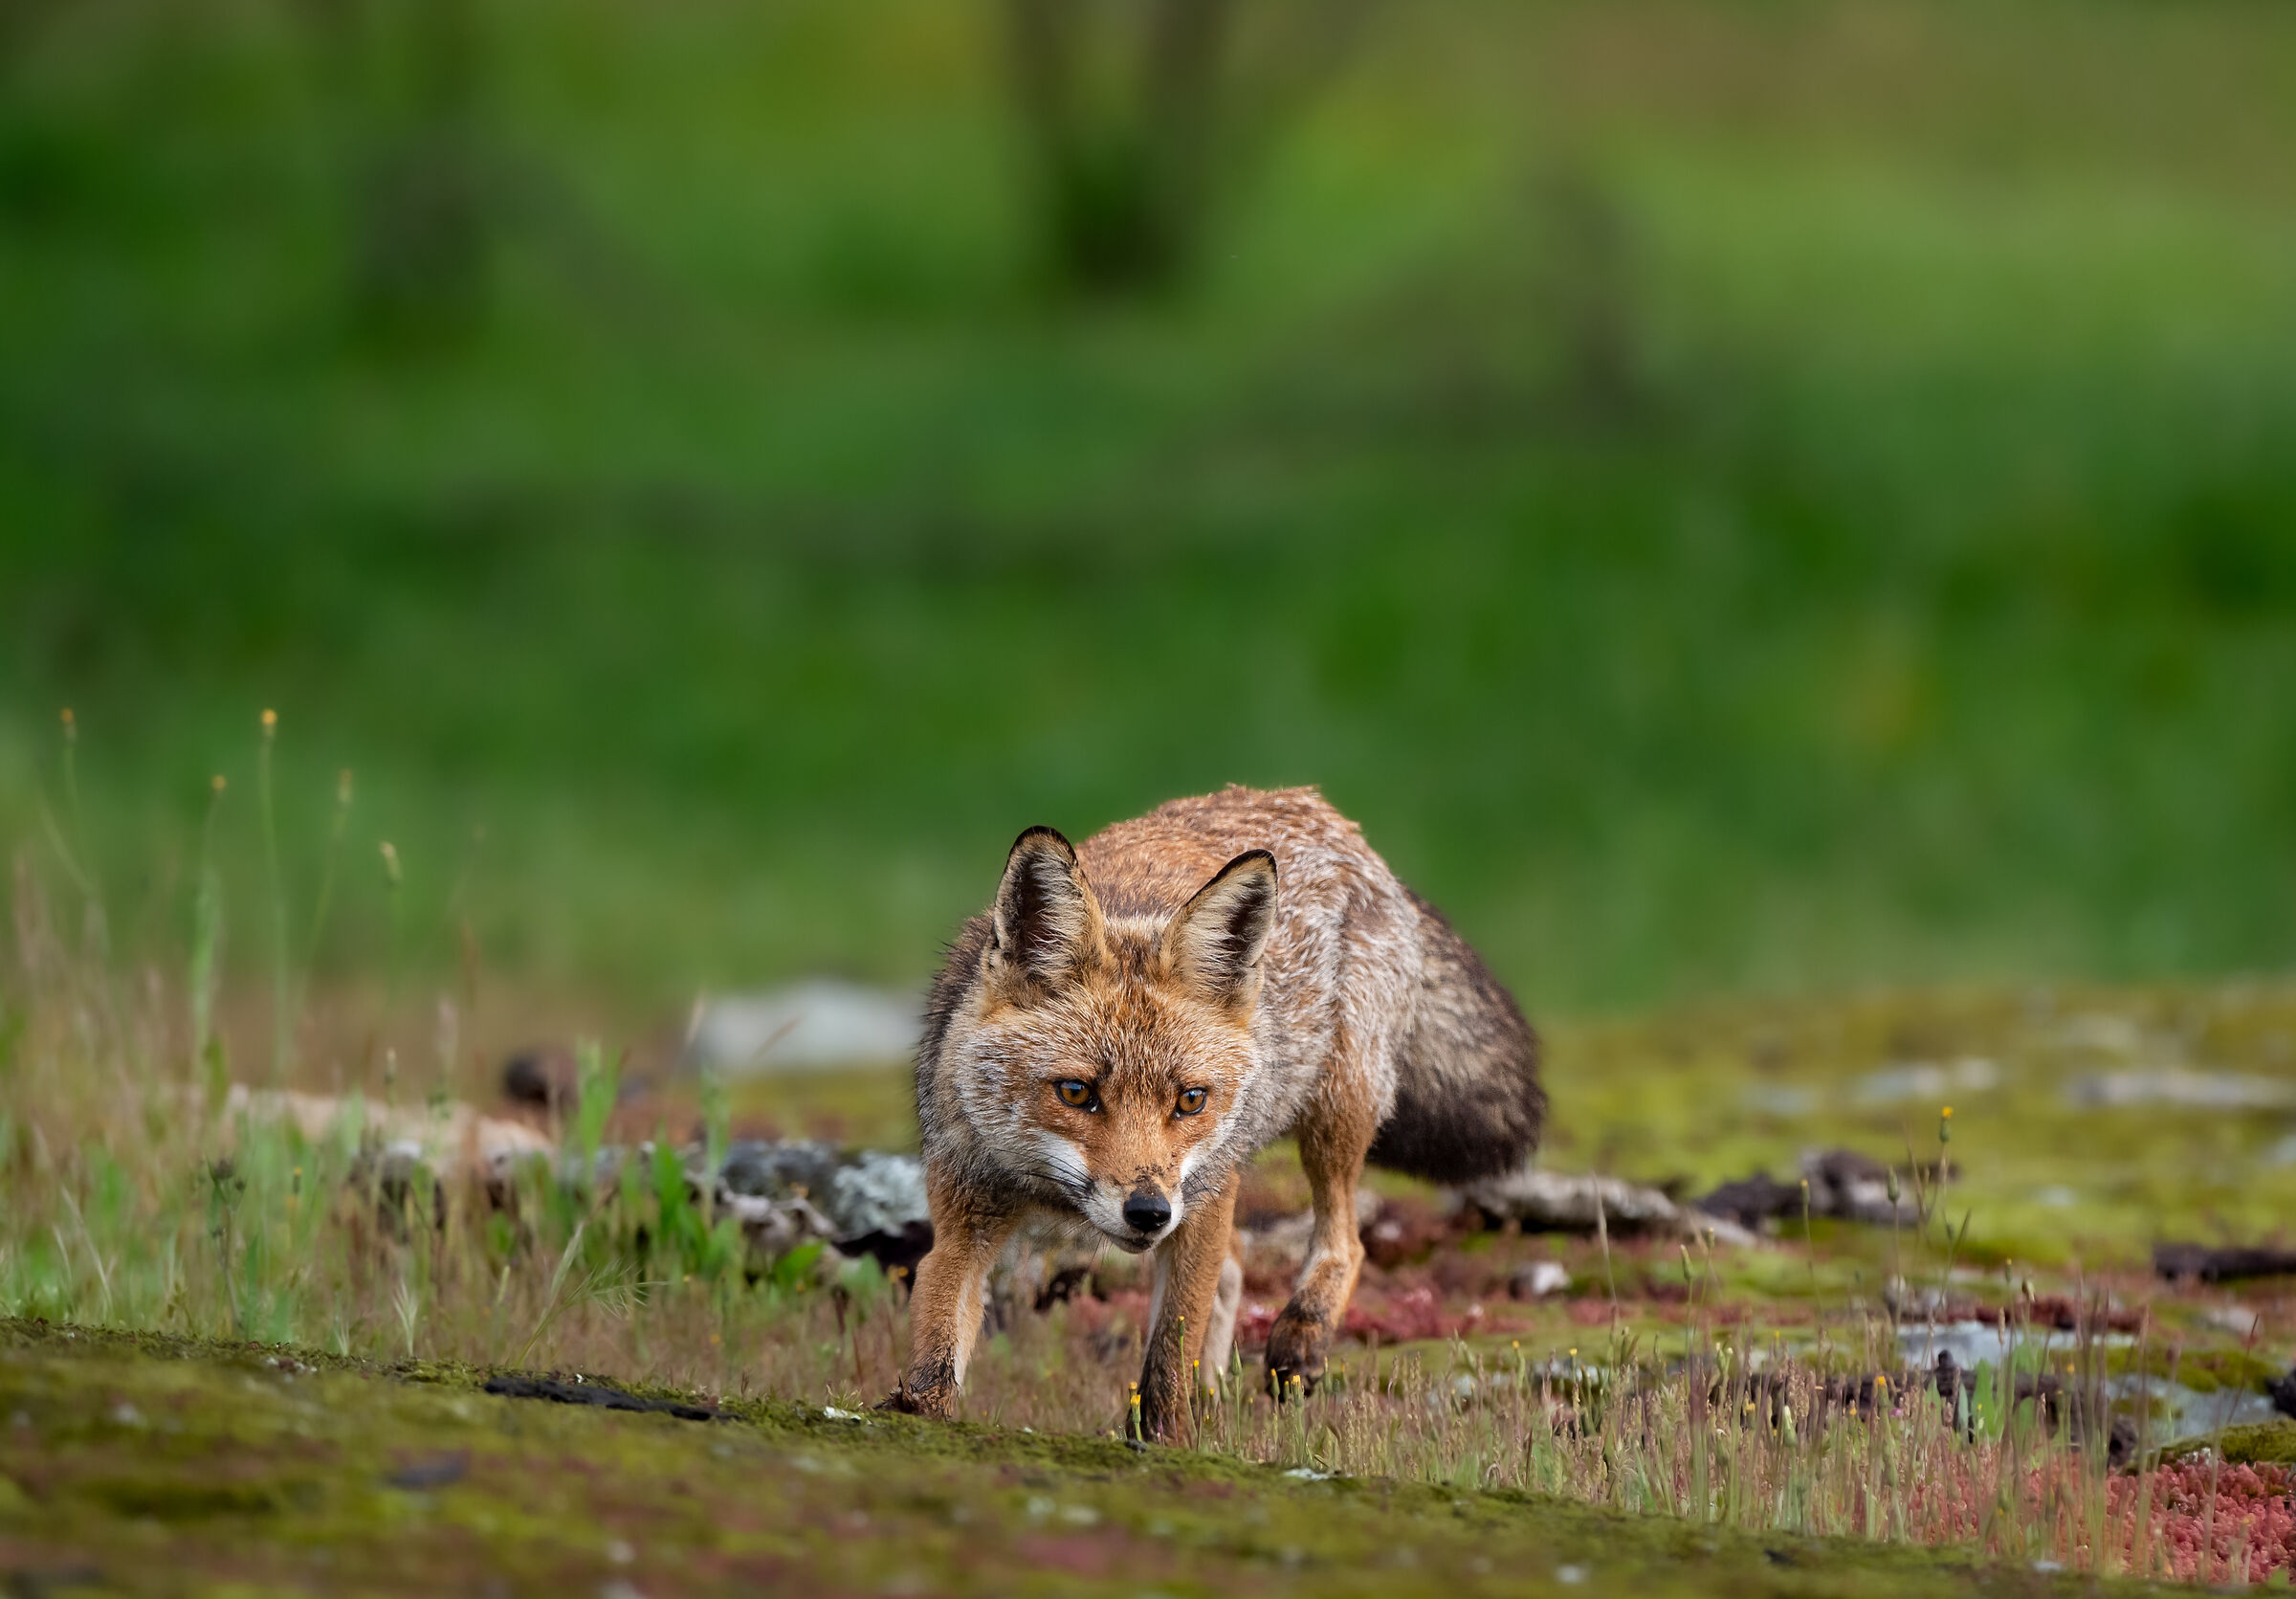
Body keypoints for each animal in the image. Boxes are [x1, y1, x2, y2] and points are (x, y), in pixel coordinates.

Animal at [883, 785, 1543, 1440]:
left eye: (1189, 1100)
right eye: (1075, 1093)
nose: (1148, 1212)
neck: (1051, 1197)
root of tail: (1318, 806)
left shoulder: (1198, 1204)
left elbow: (1168, 1358)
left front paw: (1165, 1441)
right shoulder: (965, 1217)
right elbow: (936, 1354)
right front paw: (917, 1415)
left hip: (1330, 1117)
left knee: (1344, 1240)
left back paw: (1301, 1336)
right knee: (1238, 1267)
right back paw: (1217, 1392)